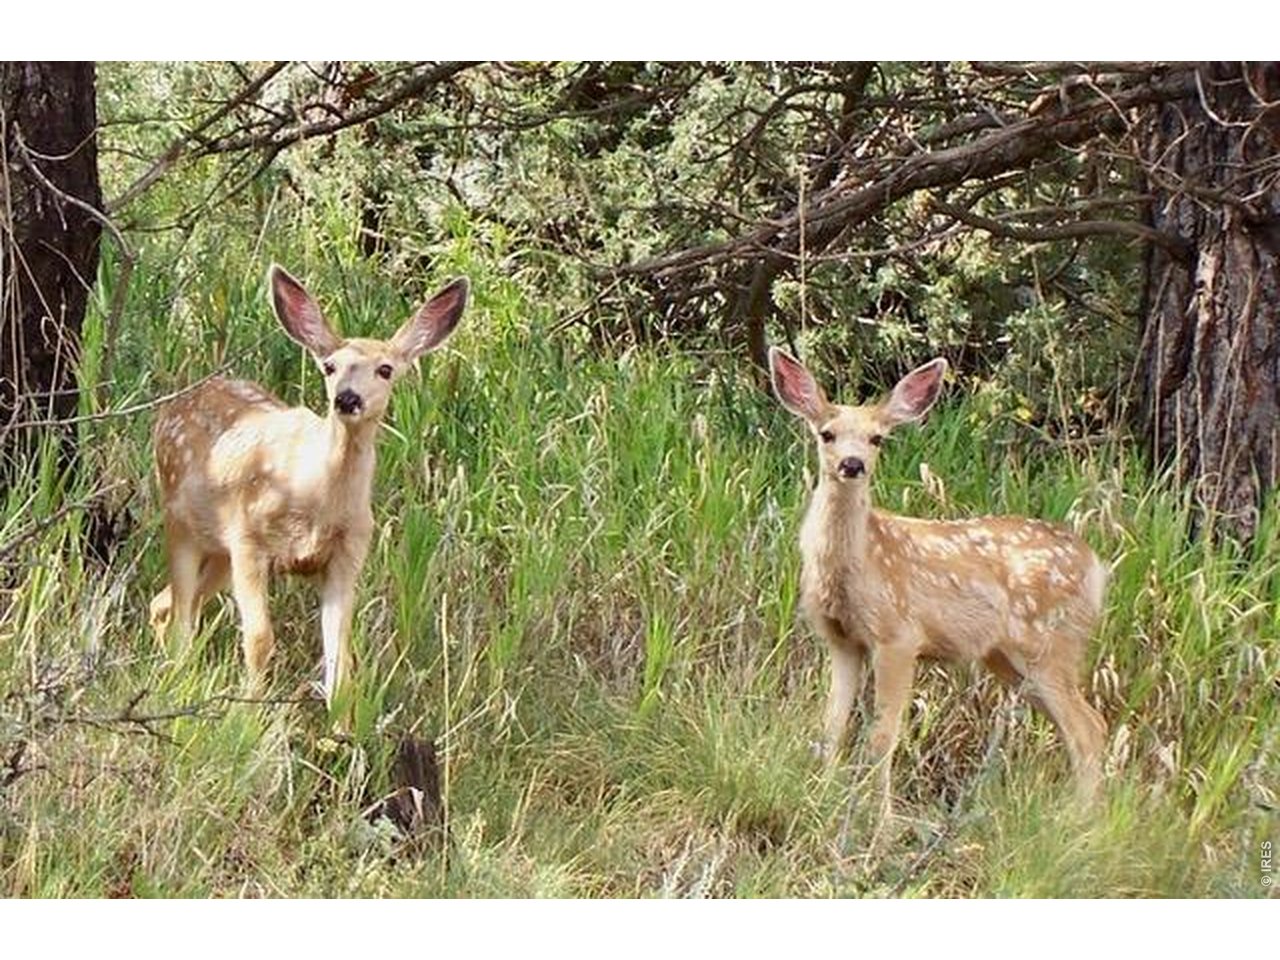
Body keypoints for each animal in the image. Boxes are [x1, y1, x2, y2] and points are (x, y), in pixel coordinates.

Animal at [148, 265, 468, 707]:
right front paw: (249, 709)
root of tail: (172, 407)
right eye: (330, 367)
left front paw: (339, 720)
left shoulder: (350, 552)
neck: (317, 498)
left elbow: (340, 659)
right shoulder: (248, 538)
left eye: (386, 369)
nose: (347, 398)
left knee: (166, 604)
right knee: (179, 611)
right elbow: (259, 639)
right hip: (181, 521)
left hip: (217, 552)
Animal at [769, 347, 1108, 807]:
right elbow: (831, 729)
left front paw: (879, 819)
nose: (852, 464)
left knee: (1089, 730)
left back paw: (1078, 819)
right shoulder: (841, 640)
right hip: (1007, 658)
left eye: (877, 439)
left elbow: (882, 737)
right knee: (1082, 729)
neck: (856, 566)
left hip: (1051, 643)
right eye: (827, 434)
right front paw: (820, 797)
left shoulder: (898, 636)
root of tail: (1096, 567)